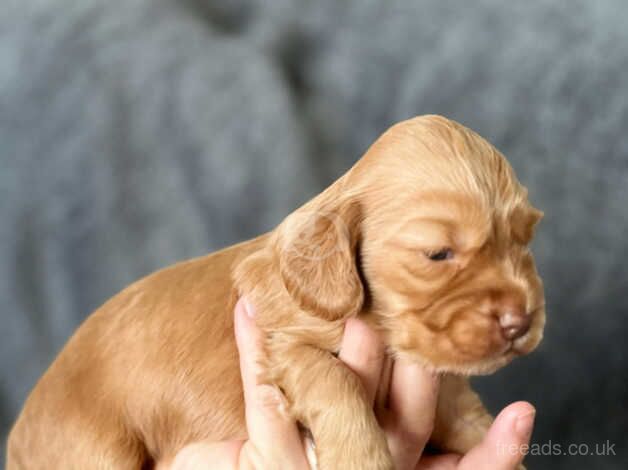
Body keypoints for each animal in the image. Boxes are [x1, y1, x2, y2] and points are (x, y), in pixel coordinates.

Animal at [6, 114, 544, 470]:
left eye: (524, 239)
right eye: (437, 253)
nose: (521, 322)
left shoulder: (444, 385)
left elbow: (468, 417)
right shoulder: (279, 344)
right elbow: (335, 378)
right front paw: (359, 457)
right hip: (95, 451)